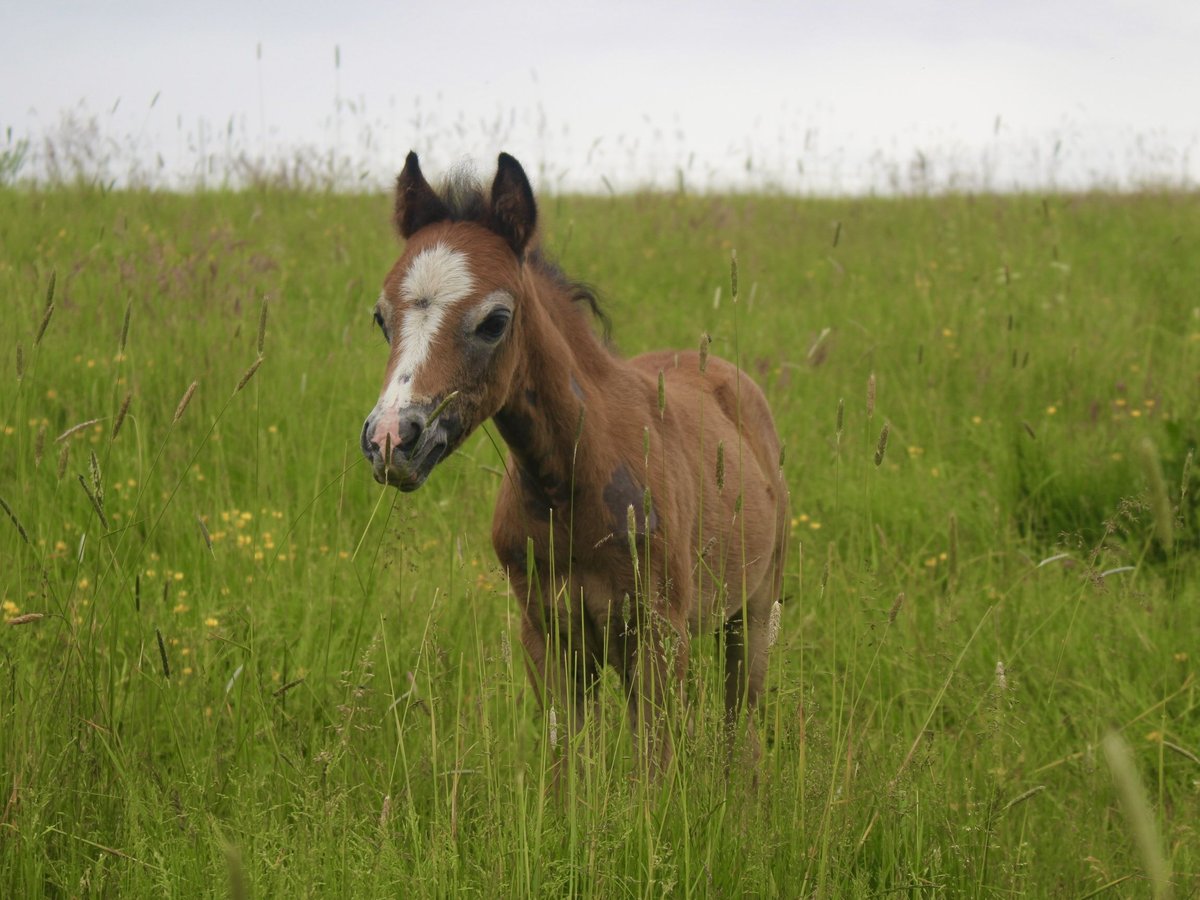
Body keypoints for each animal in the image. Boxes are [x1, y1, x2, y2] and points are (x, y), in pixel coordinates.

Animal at [360, 152, 789, 772]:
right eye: (381, 317)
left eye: (494, 321)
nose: (392, 439)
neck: (570, 487)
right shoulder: (547, 635)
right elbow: (567, 765)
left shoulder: (659, 634)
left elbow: (653, 767)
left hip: (753, 609)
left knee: (742, 729)